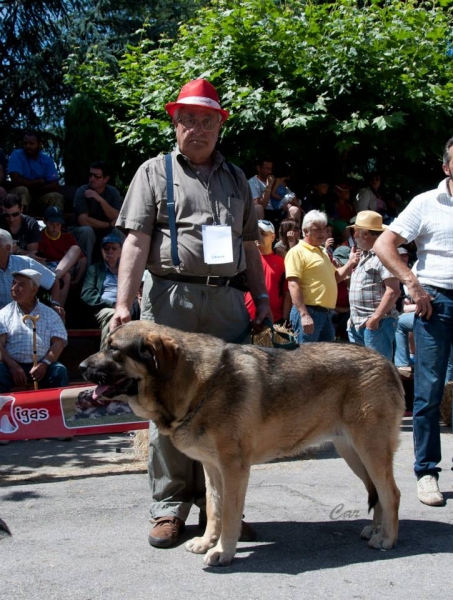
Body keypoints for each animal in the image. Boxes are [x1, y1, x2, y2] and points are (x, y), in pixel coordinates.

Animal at [79, 322, 404, 564]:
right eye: (105, 344)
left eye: (114, 349)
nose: (81, 366)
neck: (200, 386)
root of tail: (387, 363)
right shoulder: (212, 468)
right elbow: (214, 509)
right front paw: (206, 542)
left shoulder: (234, 468)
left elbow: (230, 514)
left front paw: (223, 551)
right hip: (353, 454)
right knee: (378, 494)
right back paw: (375, 530)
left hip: (370, 451)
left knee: (392, 494)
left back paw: (387, 538)